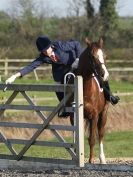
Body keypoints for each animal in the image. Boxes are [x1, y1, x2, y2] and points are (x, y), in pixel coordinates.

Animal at [69, 37, 108, 165]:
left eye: (103, 55)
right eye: (92, 55)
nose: (104, 74)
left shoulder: (94, 116)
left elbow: (92, 139)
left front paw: (91, 160)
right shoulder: (74, 117)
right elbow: (76, 137)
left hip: (103, 114)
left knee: (100, 134)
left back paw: (102, 158)